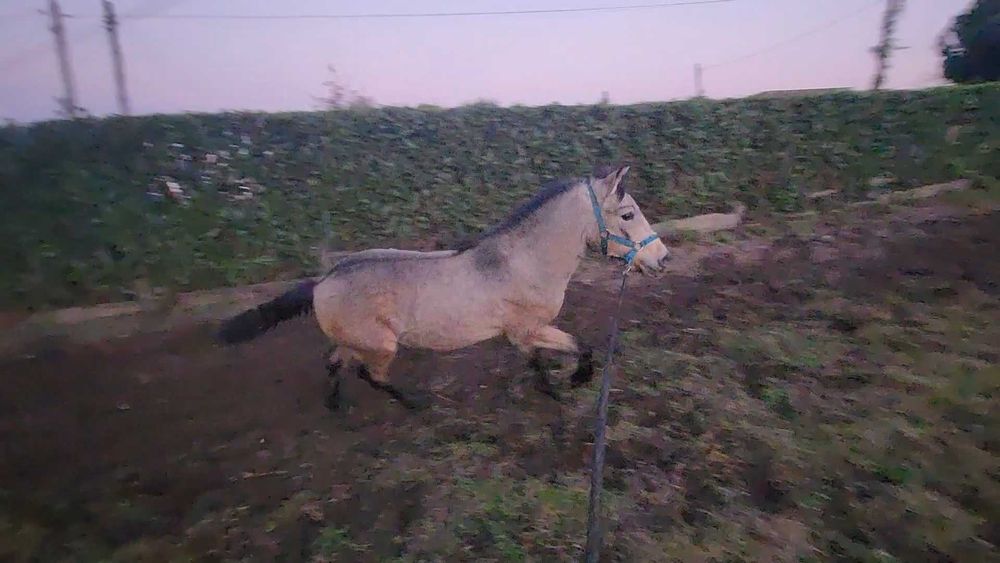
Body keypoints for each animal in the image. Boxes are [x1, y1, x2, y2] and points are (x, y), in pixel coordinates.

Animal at [218, 164, 671, 410]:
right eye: (627, 215)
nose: (662, 259)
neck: (521, 262)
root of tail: (322, 280)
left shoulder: (522, 334)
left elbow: (537, 363)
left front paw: (554, 392)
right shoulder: (529, 328)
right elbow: (581, 347)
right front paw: (576, 382)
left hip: (359, 340)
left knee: (335, 361)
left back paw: (336, 406)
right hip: (381, 346)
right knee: (368, 373)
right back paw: (414, 404)